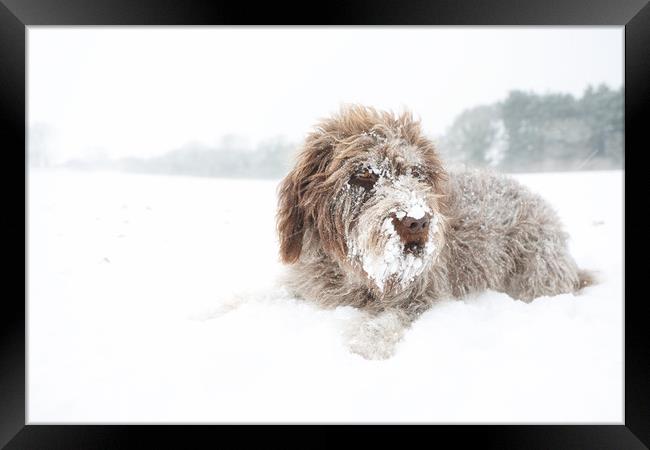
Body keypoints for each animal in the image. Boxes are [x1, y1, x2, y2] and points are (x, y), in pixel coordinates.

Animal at [276, 104, 588, 358]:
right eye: (363, 174)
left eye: (417, 174)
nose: (417, 221)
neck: (350, 271)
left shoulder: (422, 291)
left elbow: (390, 318)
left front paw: (365, 344)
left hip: (536, 272)